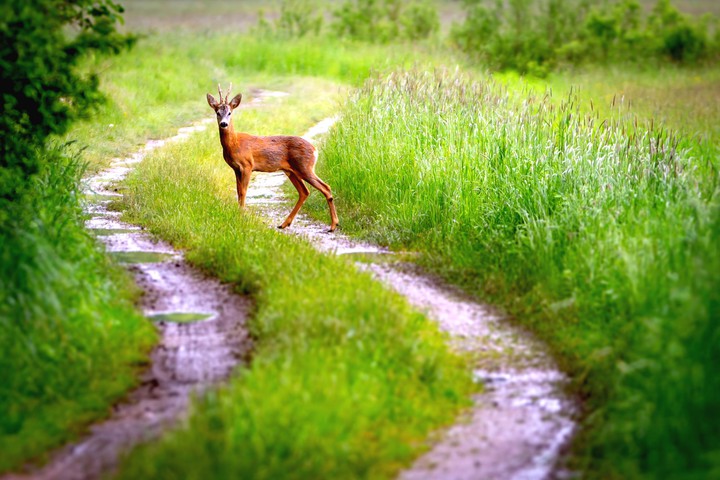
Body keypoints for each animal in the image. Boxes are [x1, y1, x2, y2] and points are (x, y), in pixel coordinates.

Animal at [206, 84, 338, 232]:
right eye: (217, 112)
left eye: (230, 112)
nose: (224, 124)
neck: (234, 144)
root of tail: (315, 149)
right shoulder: (236, 169)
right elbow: (239, 191)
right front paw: (239, 213)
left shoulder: (247, 165)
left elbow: (243, 191)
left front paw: (241, 215)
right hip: (292, 171)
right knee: (304, 192)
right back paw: (284, 223)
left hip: (305, 167)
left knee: (325, 187)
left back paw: (333, 225)